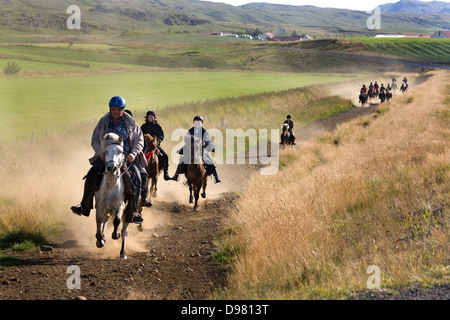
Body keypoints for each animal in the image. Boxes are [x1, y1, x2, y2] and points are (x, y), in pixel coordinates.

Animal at [94, 132, 129, 260]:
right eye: (106, 151)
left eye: (120, 151)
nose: (111, 168)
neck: (110, 186)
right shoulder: (100, 207)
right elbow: (99, 221)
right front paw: (100, 240)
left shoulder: (120, 206)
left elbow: (117, 221)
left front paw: (115, 235)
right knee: (105, 220)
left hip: (128, 213)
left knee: (124, 231)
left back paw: (122, 252)